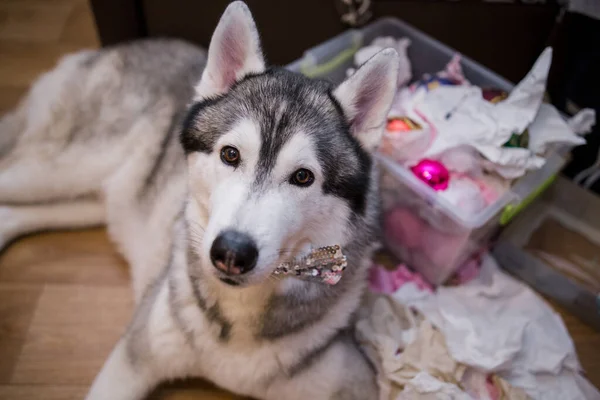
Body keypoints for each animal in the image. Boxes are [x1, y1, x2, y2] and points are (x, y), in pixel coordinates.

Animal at [2, 1, 400, 398]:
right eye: (230, 154)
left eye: (303, 177)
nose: (232, 253)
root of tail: (119, 46)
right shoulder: (132, 355)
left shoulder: (354, 381)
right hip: (60, 170)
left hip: (94, 199)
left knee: (11, 214)